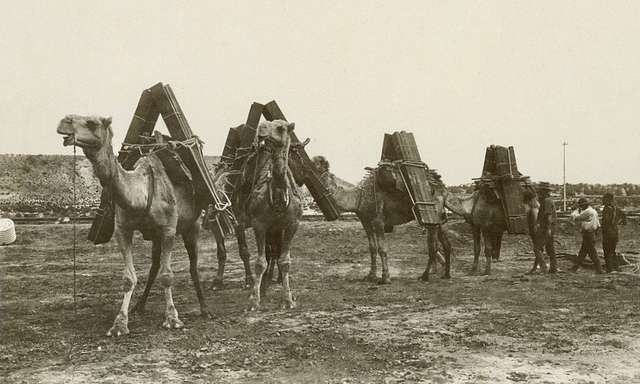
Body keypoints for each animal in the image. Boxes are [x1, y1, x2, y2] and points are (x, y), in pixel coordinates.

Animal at [56, 115, 209, 336]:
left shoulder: (168, 230)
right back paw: (140, 306)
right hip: (156, 237)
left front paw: (172, 319)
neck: (142, 193)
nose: (64, 122)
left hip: (193, 226)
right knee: (154, 265)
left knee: (193, 265)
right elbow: (129, 278)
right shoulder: (123, 229)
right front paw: (119, 324)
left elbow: (167, 275)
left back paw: (205, 309)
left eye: (92, 123)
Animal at [312, 157, 452, 284]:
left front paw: (385, 277)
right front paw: (370, 275)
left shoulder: (378, 221)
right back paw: (446, 275)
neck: (359, 197)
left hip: (430, 215)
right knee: (446, 243)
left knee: (433, 246)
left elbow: (382, 249)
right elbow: (372, 248)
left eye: (317, 169)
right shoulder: (365, 221)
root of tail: (443, 189)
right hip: (438, 219)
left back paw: (424, 276)